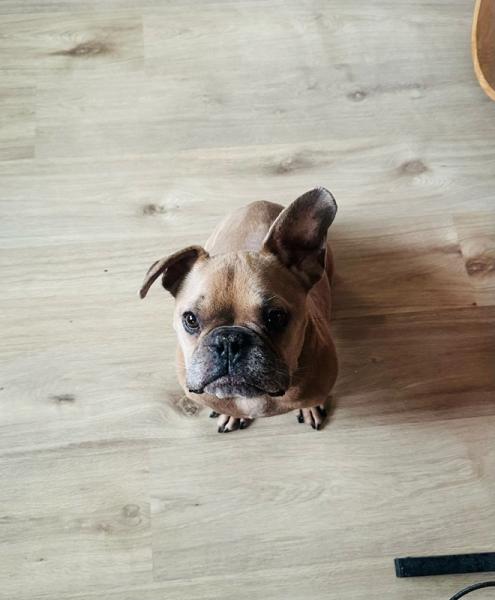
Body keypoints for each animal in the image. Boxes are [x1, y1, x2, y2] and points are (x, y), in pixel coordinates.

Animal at [140, 188, 338, 432]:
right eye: (190, 319)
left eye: (276, 317)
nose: (228, 341)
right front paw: (231, 415)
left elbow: (314, 399)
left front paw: (310, 408)